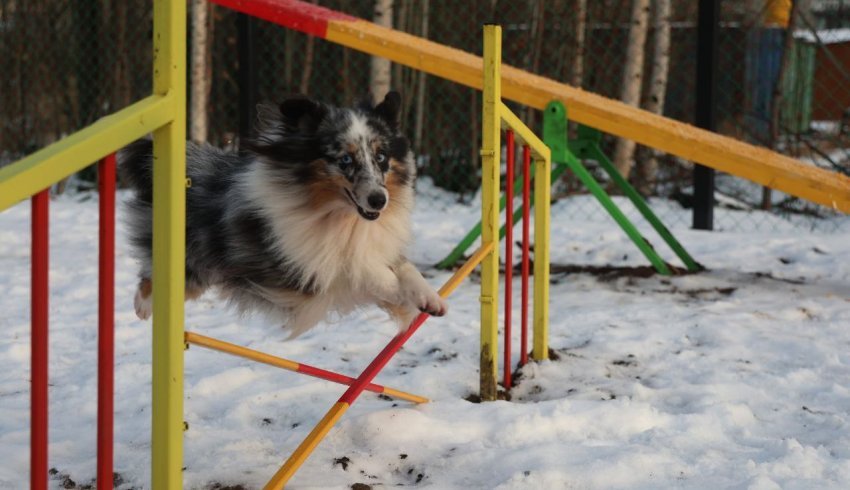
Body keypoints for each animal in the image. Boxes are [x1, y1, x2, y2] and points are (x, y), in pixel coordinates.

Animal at [121, 91, 448, 336]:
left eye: (381, 157)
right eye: (345, 159)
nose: (379, 201)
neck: (340, 217)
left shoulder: (373, 247)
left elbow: (403, 268)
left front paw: (429, 299)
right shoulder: (305, 269)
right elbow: (364, 272)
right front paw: (401, 292)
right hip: (192, 267)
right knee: (151, 279)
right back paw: (142, 306)